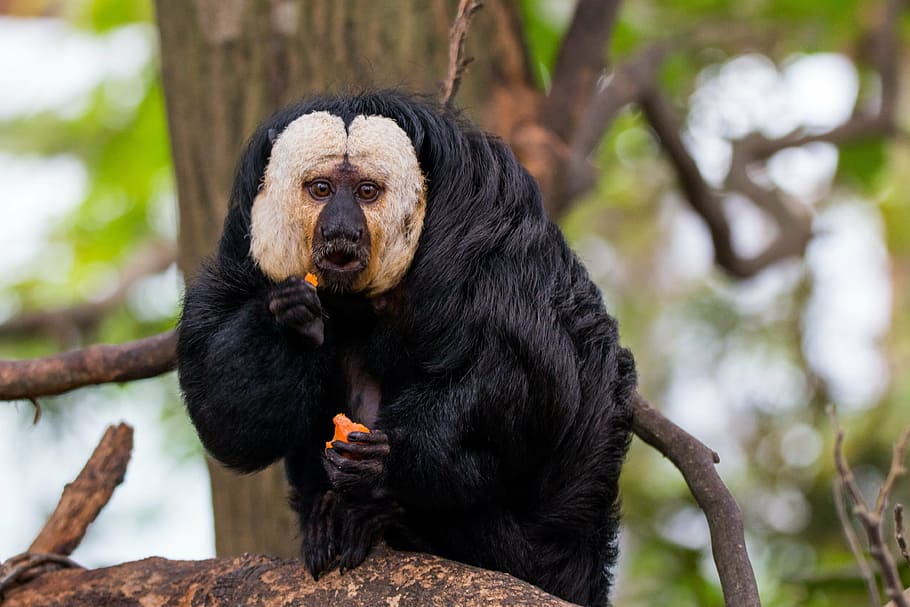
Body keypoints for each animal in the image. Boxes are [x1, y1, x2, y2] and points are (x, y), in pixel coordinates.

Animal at [176, 91, 636, 607]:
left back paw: (383, 516)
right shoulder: (242, 244)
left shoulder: (488, 233)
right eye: (320, 189)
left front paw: (385, 460)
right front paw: (292, 320)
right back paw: (329, 515)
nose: (340, 229)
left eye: (366, 192)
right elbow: (230, 417)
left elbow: (535, 376)